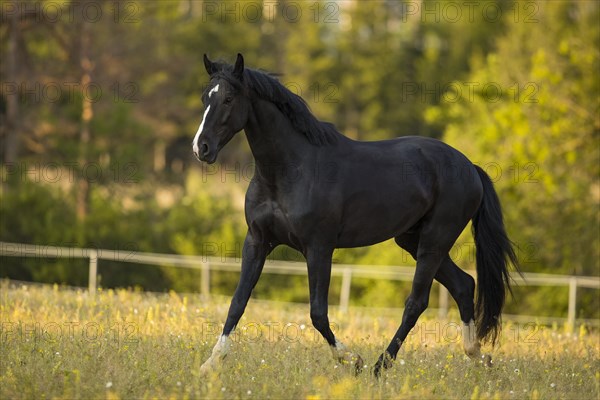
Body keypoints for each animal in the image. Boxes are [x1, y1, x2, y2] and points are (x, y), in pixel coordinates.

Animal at [192, 54, 516, 376]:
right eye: (205, 97)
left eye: (229, 99)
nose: (201, 148)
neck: (291, 169)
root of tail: (470, 167)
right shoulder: (258, 241)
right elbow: (238, 302)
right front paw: (210, 364)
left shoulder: (319, 248)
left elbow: (318, 313)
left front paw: (352, 360)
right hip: (413, 240)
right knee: (464, 285)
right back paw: (478, 356)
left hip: (435, 240)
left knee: (417, 302)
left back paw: (379, 366)